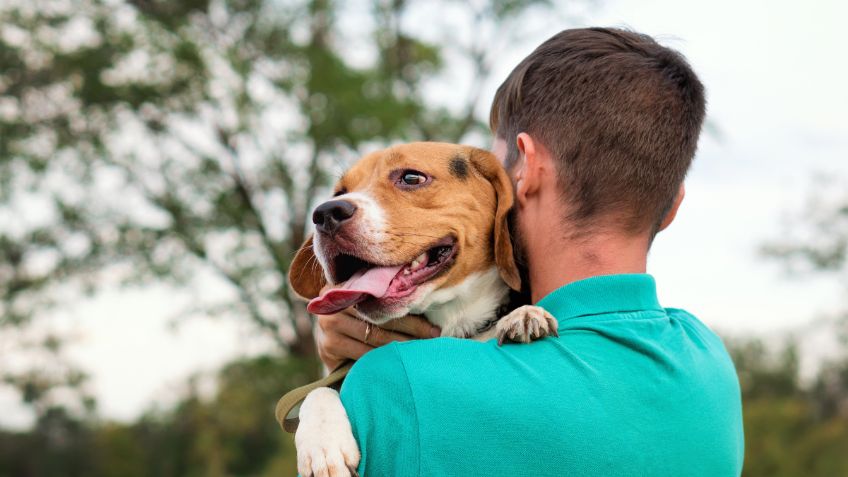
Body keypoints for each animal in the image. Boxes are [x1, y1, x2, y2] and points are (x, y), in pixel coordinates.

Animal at [288, 141, 560, 476]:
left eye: (411, 178)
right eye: (339, 192)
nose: (325, 213)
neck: (452, 322)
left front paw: (524, 315)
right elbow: (317, 391)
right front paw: (322, 445)